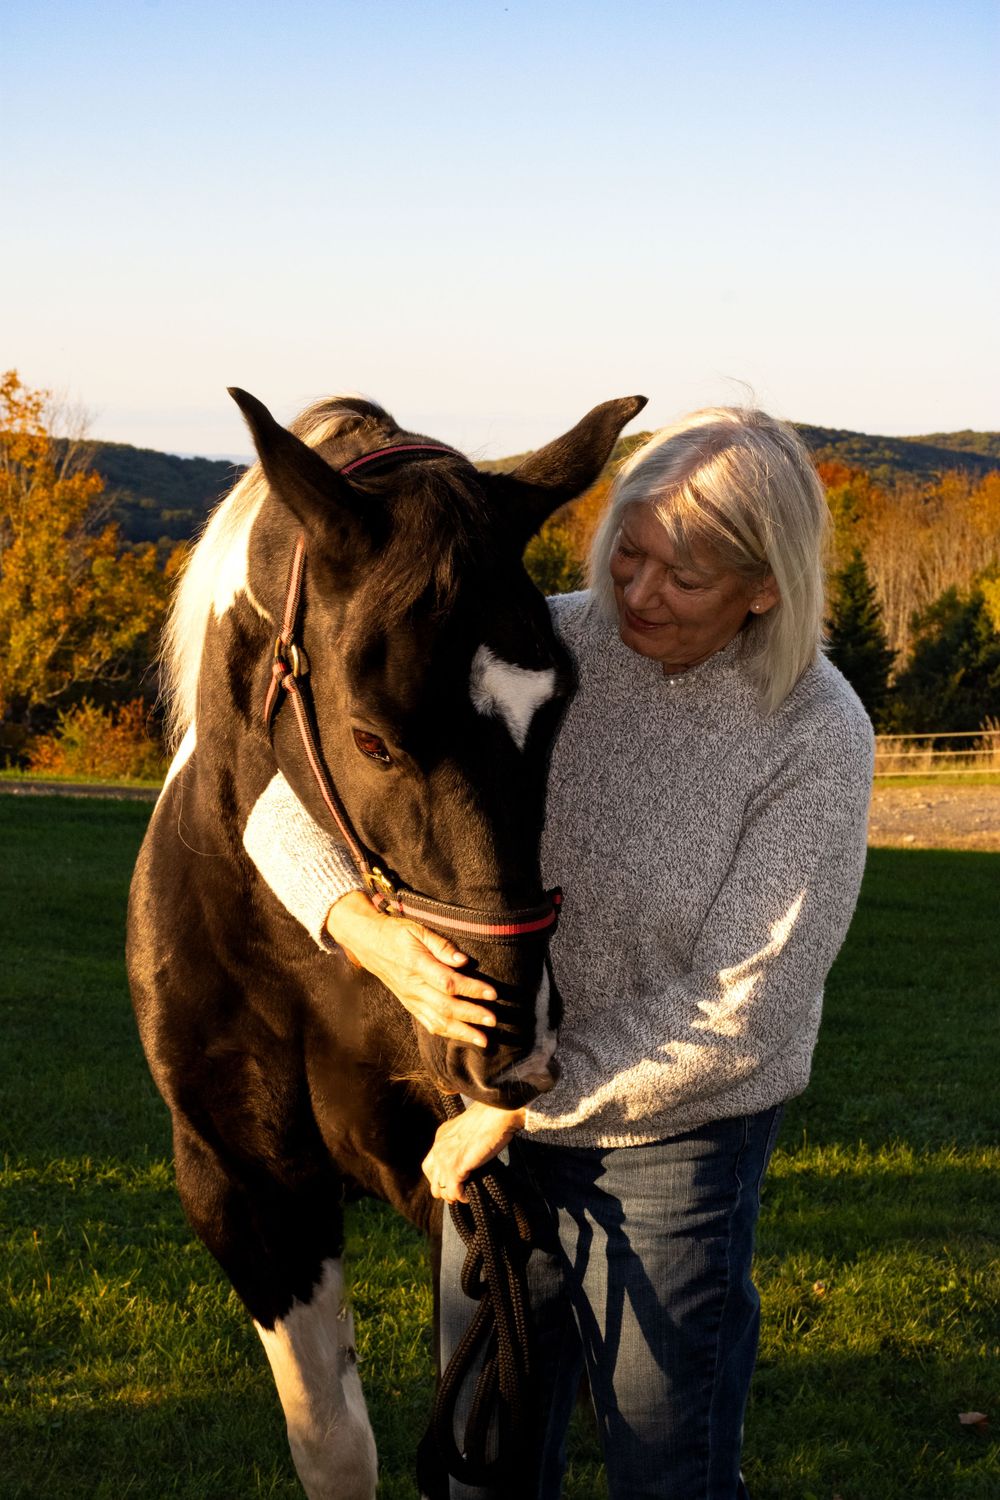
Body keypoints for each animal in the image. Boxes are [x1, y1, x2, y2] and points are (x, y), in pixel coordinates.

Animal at [126, 385, 645, 1499]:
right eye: (370, 737)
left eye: (559, 708)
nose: (512, 1050)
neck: (297, 955)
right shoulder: (244, 1188)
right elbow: (334, 1441)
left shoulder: (479, 1205)